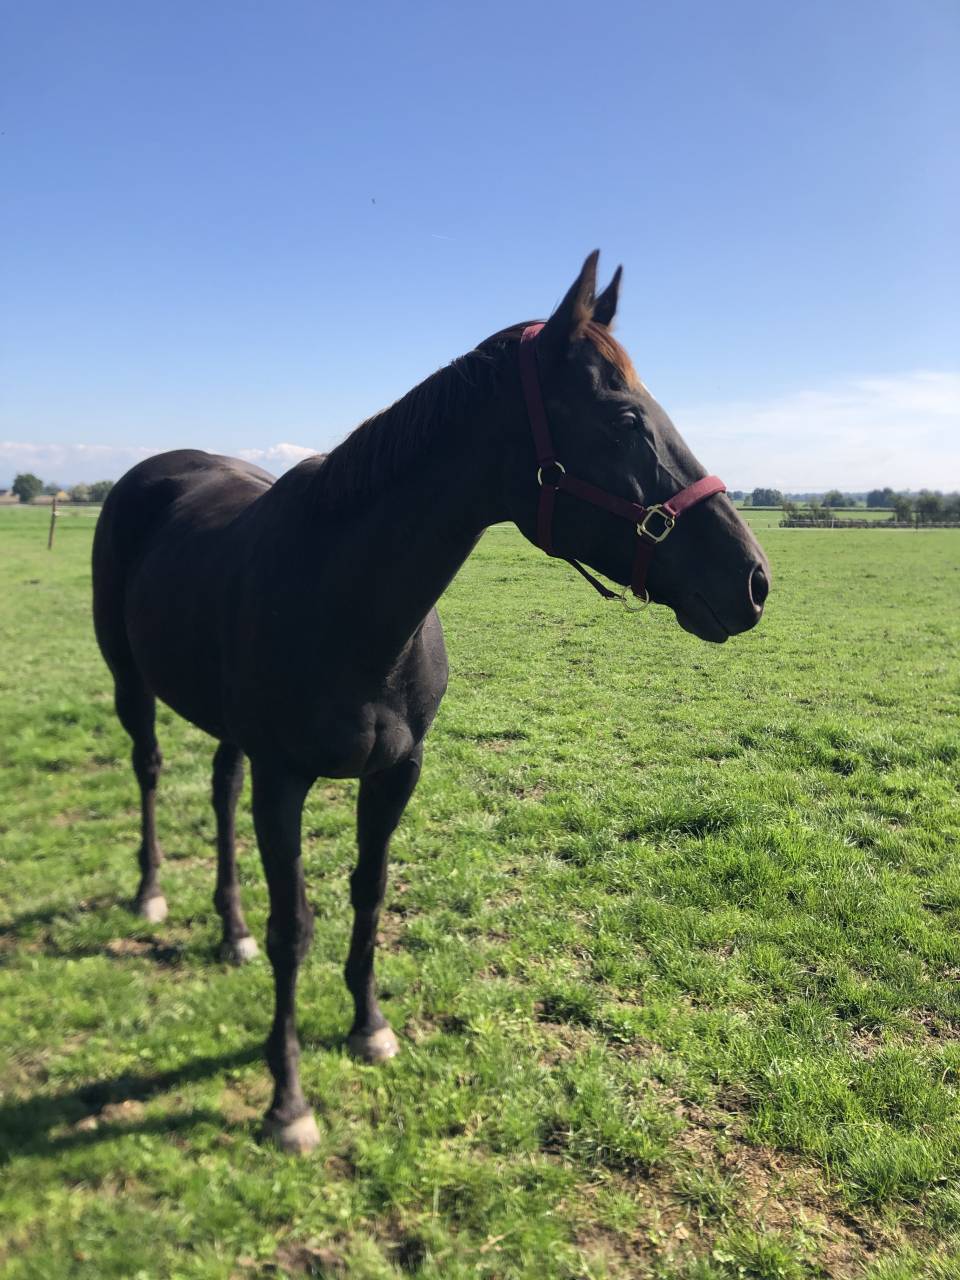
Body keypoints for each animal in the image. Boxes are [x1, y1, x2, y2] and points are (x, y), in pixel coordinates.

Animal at [92, 253, 769, 1153]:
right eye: (626, 418)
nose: (754, 580)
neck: (348, 600)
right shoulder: (284, 780)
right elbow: (293, 927)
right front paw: (288, 1102)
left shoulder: (397, 773)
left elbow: (369, 893)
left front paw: (368, 1027)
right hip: (130, 684)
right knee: (150, 768)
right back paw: (151, 893)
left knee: (219, 787)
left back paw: (227, 930)